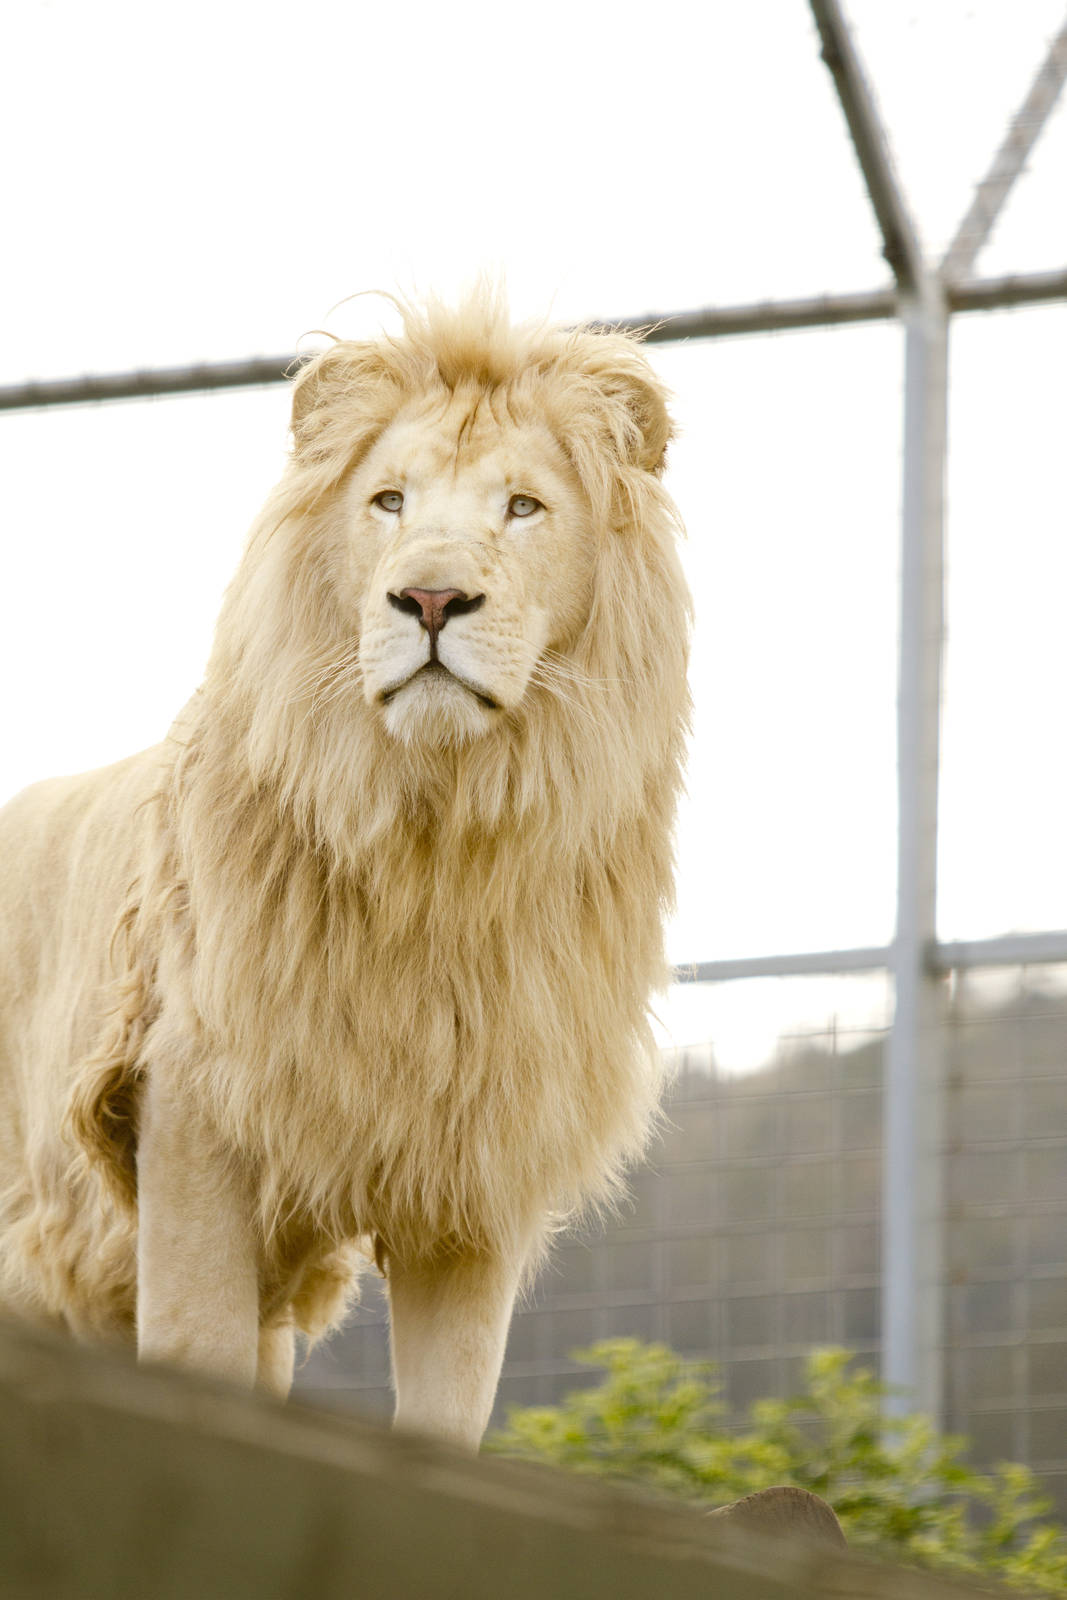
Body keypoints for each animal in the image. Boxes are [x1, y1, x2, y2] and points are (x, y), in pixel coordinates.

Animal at [0, 294, 691, 1447]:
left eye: (522, 507)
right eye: (388, 502)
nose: (430, 597)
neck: (434, 845)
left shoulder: (469, 1180)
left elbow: (444, 1416)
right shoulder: (188, 1124)